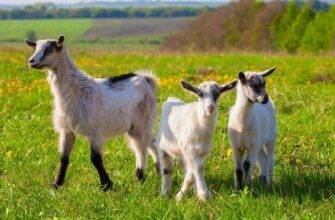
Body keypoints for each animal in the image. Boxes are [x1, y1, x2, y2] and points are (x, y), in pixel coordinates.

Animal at [25, 36, 159, 191]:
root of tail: (146, 79)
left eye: (49, 50)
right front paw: (56, 184)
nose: (31, 61)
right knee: (151, 142)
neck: (75, 90)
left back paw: (139, 176)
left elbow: (95, 159)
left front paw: (106, 185)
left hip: (141, 121)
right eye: (35, 48)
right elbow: (64, 158)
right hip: (136, 126)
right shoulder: (67, 130)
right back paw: (157, 170)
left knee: (140, 148)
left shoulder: (95, 132)